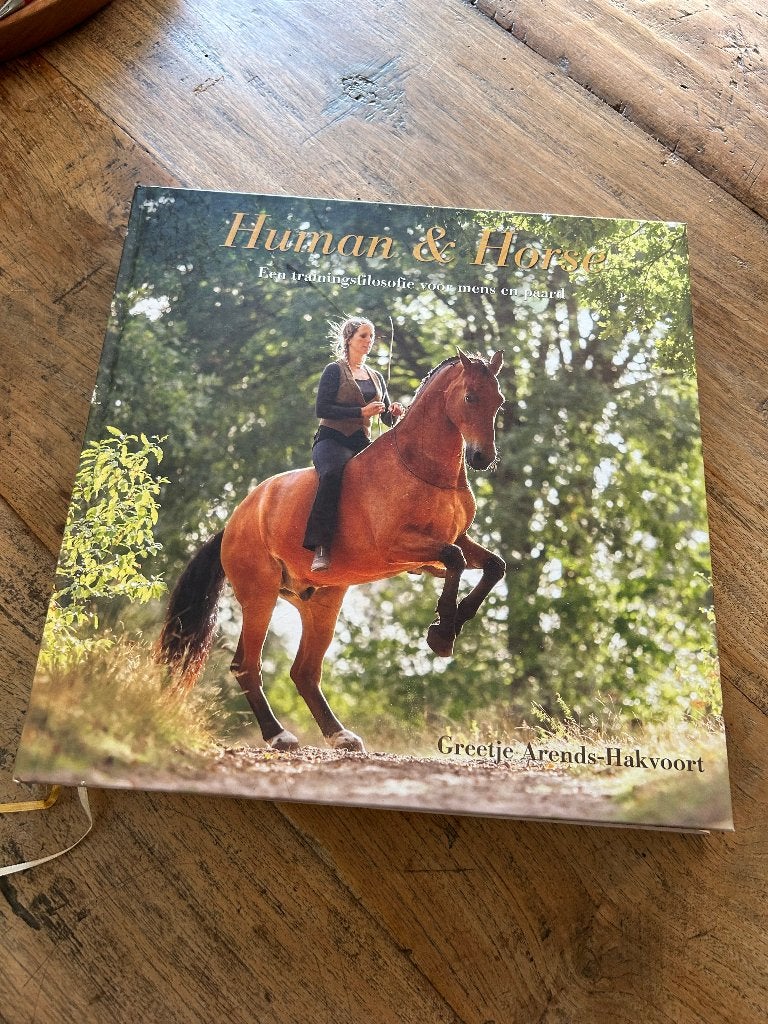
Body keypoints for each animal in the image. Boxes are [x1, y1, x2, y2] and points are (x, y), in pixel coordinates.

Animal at [156, 349, 506, 753]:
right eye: (470, 397)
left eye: (499, 401)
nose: (482, 458)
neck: (422, 468)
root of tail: (235, 520)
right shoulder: (401, 548)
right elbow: (456, 561)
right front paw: (443, 634)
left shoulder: (450, 543)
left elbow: (493, 566)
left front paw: (448, 627)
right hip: (260, 596)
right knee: (247, 666)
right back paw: (279, 735)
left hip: (321, 603)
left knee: (304, 672)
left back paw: (340, 735)